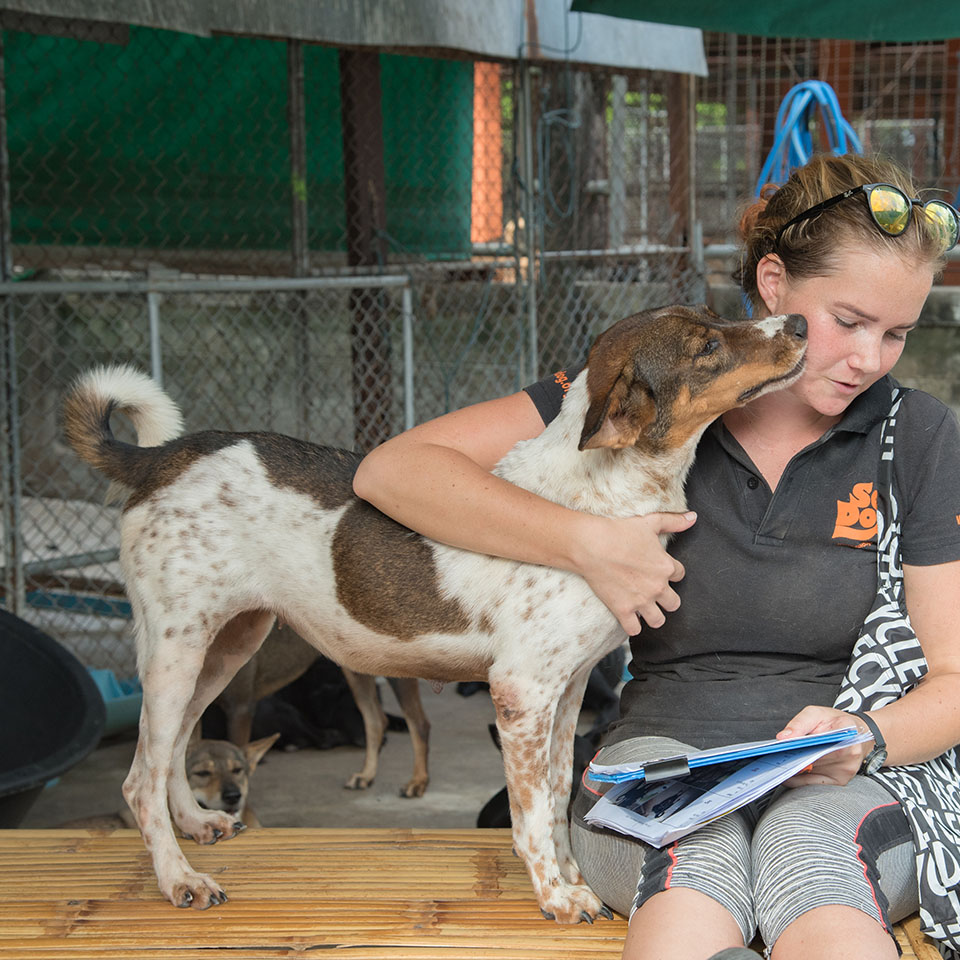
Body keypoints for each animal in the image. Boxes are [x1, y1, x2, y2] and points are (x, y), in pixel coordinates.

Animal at [63, 306, 808, 924]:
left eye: (717, 317)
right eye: (707, 345)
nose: (800, 323)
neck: (603, 496)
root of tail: (158, 458)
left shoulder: (568, 690)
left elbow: (559, 793)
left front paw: (571, 877)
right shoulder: (522, 693)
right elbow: (531, 812)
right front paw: (555, 896)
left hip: (226, 645)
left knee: (172, 751)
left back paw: (196, 824)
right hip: (175, 647)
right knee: (138, 776)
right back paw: (179, 879)